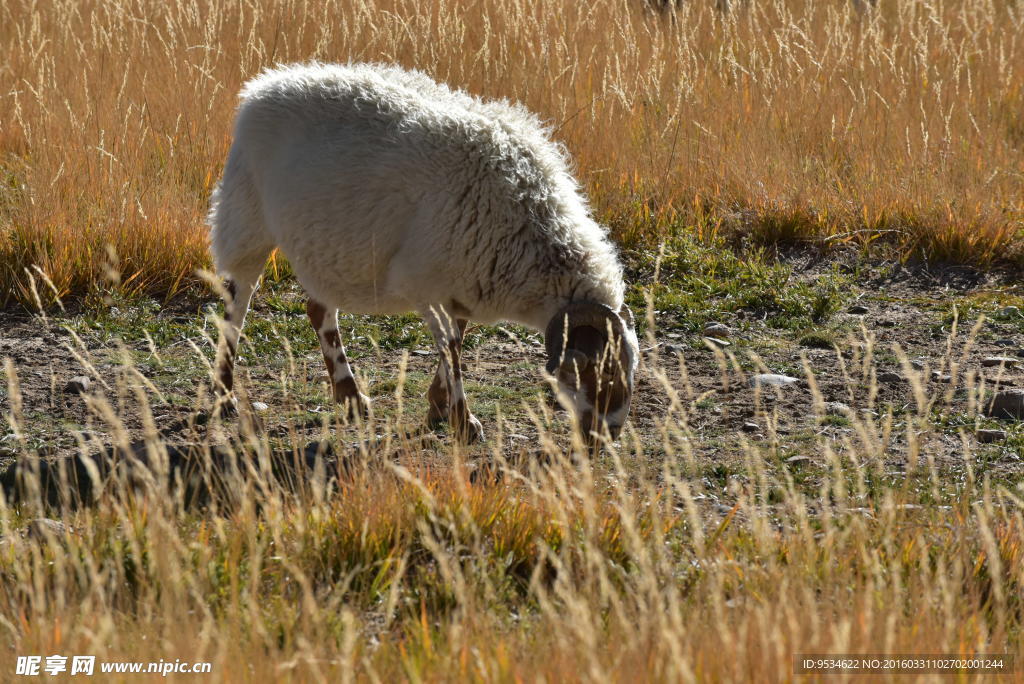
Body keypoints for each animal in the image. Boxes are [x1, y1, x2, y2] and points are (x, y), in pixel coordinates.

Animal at [207, 63, 638, 444]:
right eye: (600, 373)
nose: (607, 436)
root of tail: (267, 83)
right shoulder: (425, 283)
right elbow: (450, 348)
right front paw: (465, 423)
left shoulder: (464, 281)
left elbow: (457, 340)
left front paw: (438, 407)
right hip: (246, 217)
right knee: (236, 306)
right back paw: (224, 395)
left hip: (322, 245)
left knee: (318, 312)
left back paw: (349, 397)